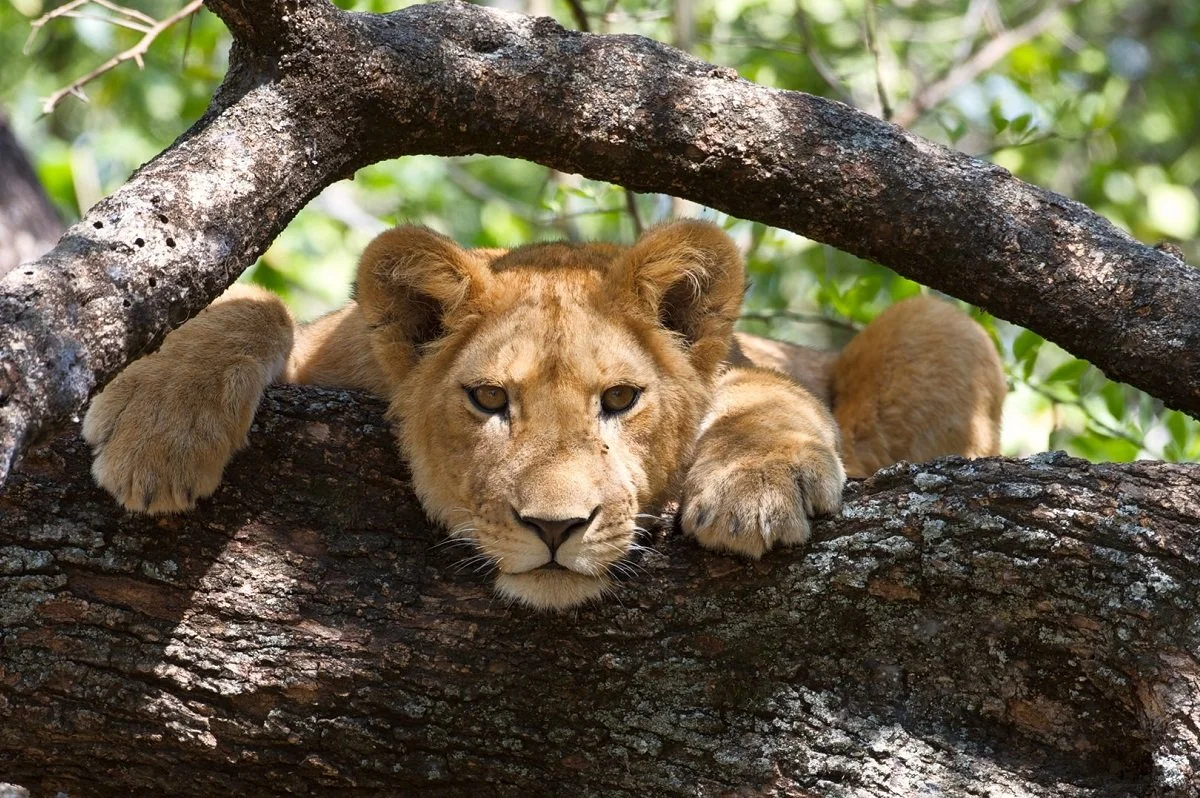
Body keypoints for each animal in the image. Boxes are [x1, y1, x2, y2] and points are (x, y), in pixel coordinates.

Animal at [83, 221, 1006, 610]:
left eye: (621, 400)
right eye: (490, 399)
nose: (556, 529)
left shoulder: (748, 370)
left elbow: (767, 395)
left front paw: (755, 488)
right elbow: (253, 304)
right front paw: (157, 431)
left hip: (943, 325)